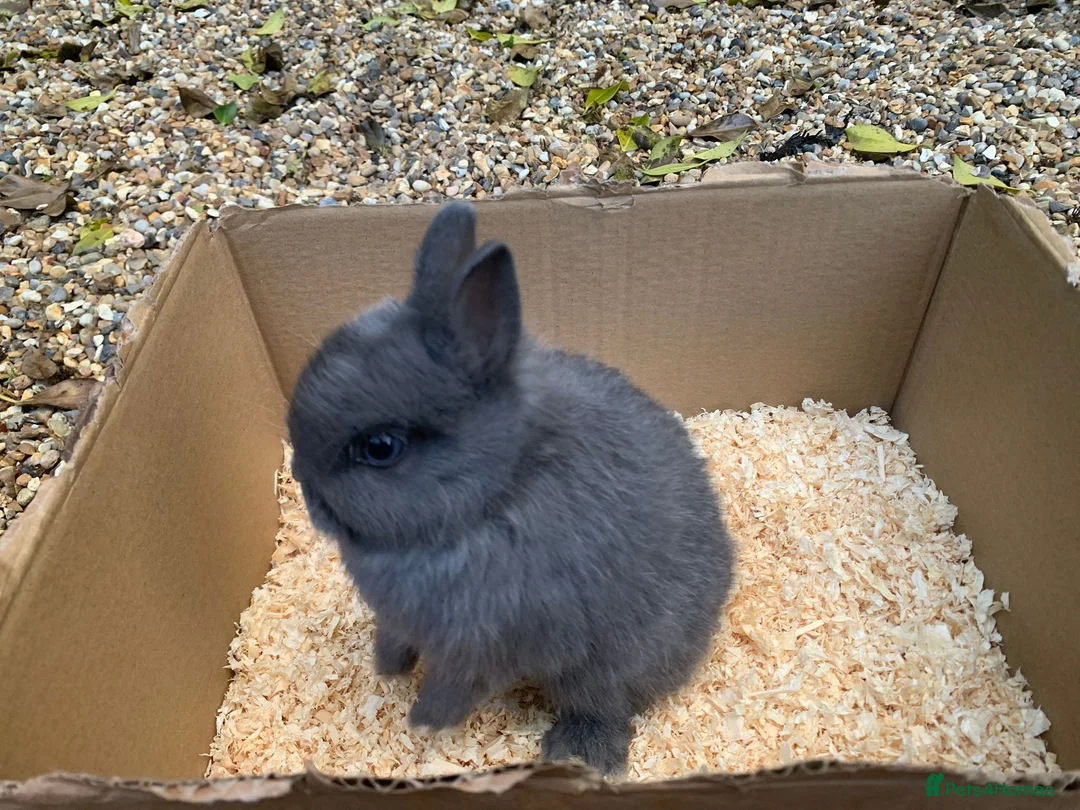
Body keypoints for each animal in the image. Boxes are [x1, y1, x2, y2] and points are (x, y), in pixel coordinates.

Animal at [286, 201, 734, 776]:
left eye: (381, 447)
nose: (303, 486)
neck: (496, 492)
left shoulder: (483, 645)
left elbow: (454, 687)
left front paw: (422, 722)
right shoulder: (403, 621)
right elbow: (394, 640)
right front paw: (386, 669)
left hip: (598, 672)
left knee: (605, 709)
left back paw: (577, 755)